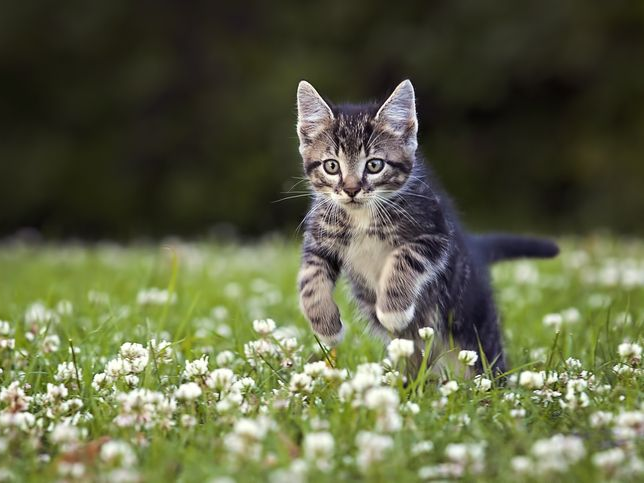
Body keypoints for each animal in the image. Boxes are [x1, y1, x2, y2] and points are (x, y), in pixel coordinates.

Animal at [294, 78, 556, 374]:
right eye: (331, 166)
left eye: (374, 165)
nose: (351, 190)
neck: (361, 216)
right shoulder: (318, 240)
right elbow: (309, 280)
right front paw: (326, 327)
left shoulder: (435, 233)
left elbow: (404, 258)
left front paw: (393, 312)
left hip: (473, 326)